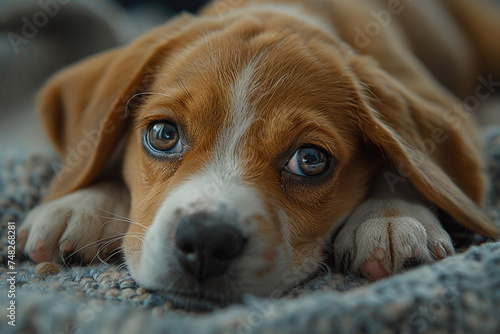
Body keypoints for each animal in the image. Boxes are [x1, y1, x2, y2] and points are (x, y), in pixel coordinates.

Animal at [16, 0, 500, 310]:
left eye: (310, 160)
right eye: (163, 134)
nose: (206, 242)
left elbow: (407, 160)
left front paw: (393, 217)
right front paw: (82, 202)